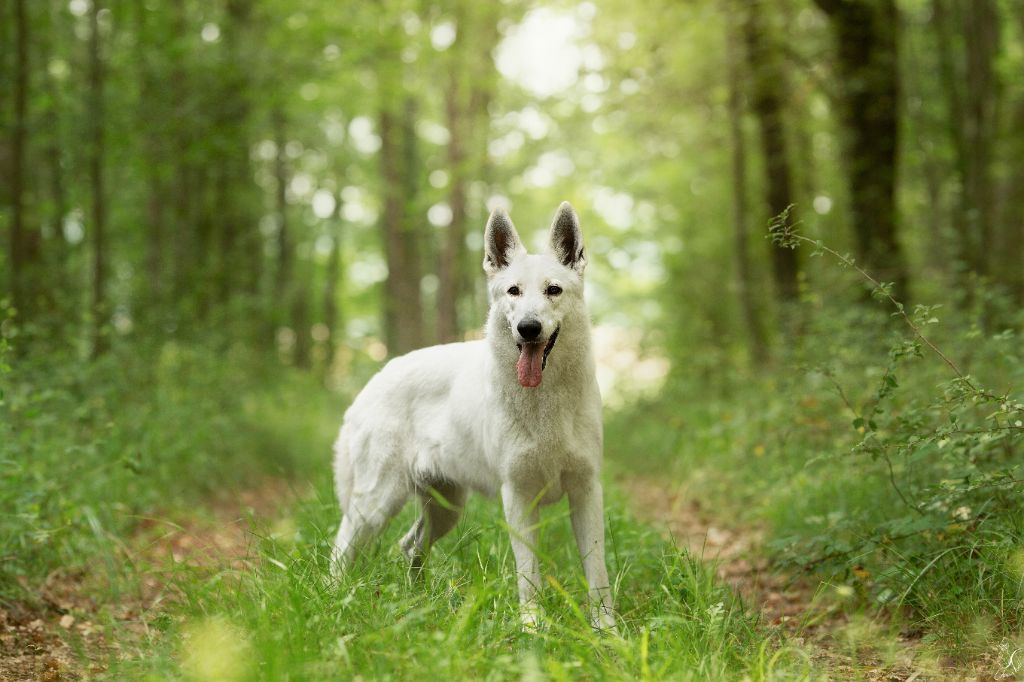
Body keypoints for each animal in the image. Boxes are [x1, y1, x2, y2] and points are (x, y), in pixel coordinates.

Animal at [331, 200, 610, 626]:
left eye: (554, 290)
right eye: (513, 291)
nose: (528, 328)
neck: (544, 400)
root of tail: (374, 380)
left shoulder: (586, 490)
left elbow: (597, 572)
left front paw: (606, 629)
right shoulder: (518, 496)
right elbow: (528, 575)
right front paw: (533, 626)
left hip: (445, 508)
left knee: (409, 545)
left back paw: (419, 603)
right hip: (376, 505)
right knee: (341, 547)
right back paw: (332, 600)